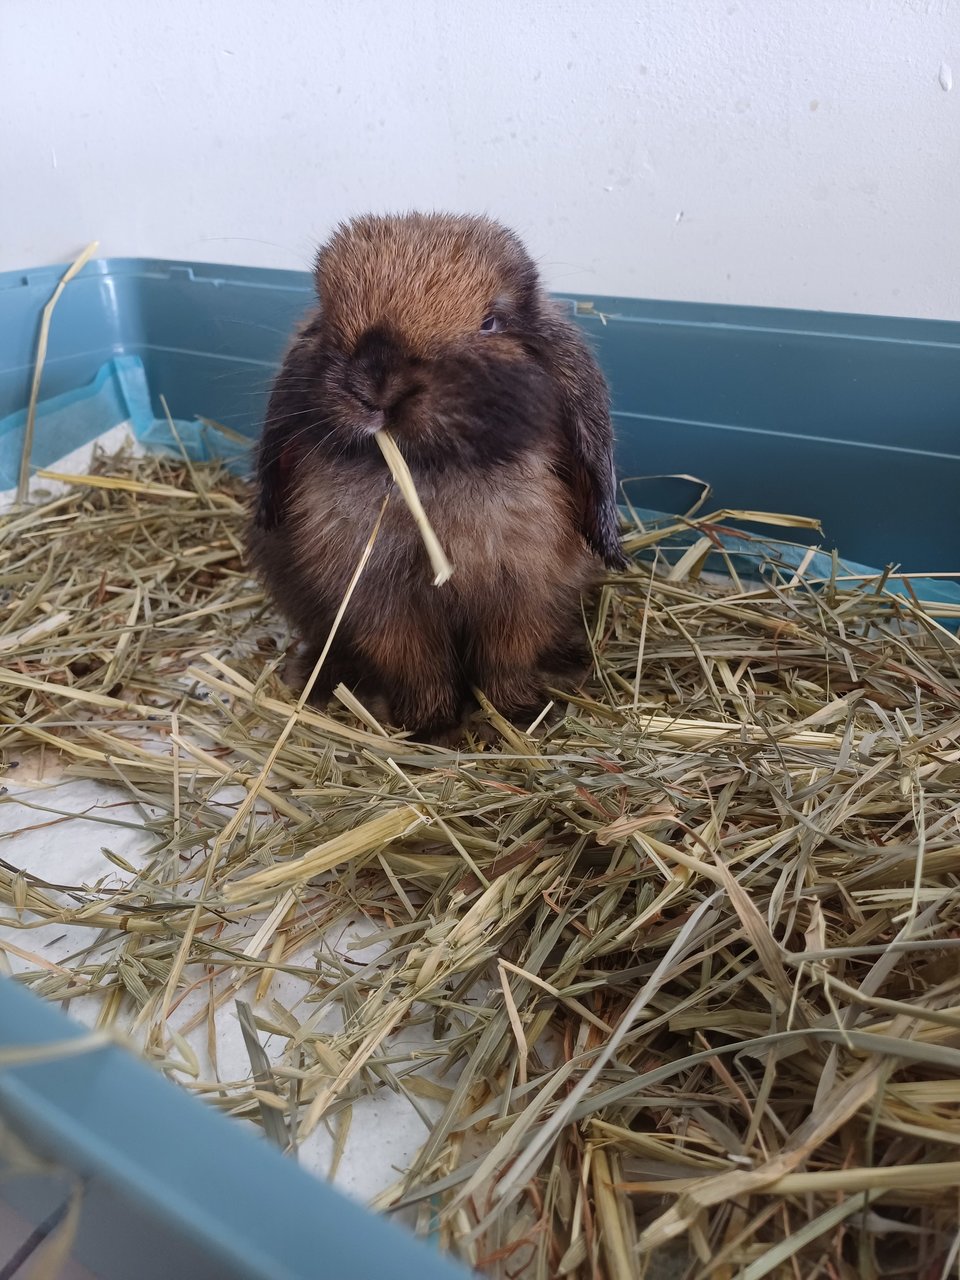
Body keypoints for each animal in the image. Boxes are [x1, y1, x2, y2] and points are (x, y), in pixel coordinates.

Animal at [244, 212, 627, 742]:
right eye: (326, 319)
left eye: (492, 322)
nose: (376, 385)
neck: (432, 477)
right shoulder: (383, 608)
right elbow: (418, 668)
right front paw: (430, 729)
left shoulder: (520, 598)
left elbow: (505, 663)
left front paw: (516, 717)